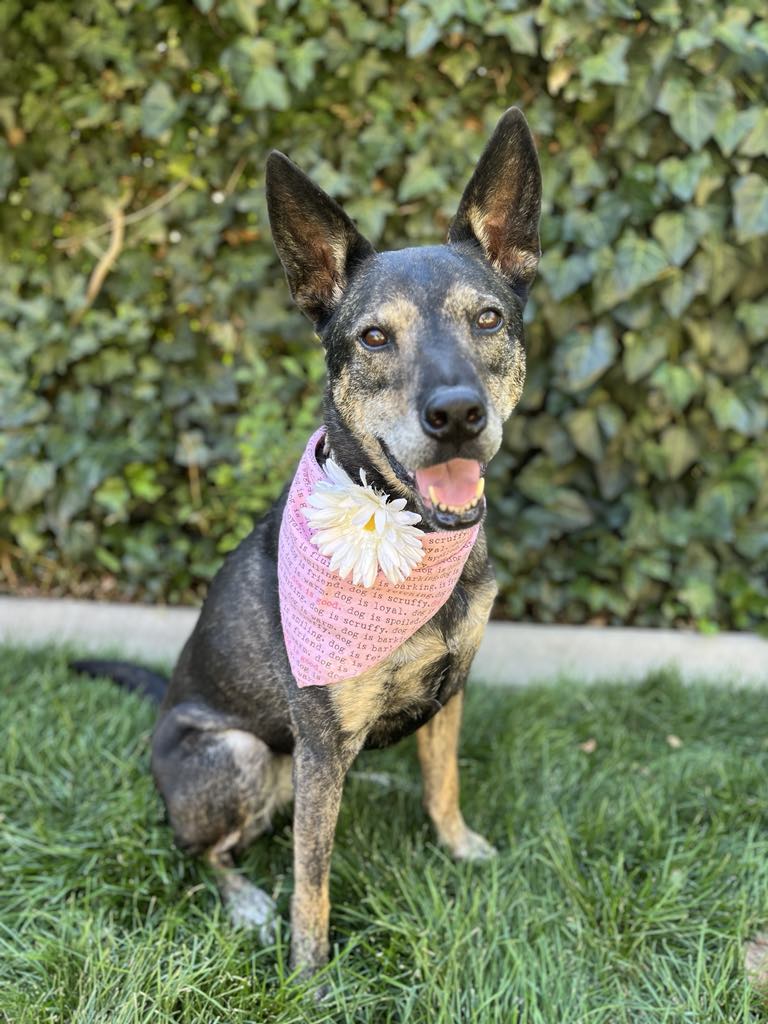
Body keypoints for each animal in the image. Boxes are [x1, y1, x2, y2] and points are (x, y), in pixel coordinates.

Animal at [72, 108, 540, 978]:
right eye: (374, 338)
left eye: (489, 318)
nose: (457, 414)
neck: (411, 537)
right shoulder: (319, 742)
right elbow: (311, 877)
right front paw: (311, 975)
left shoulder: (451, 688)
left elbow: (444, 782)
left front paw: (458, 845)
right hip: (241, 755)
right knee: (203, 850)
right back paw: (246, 901)